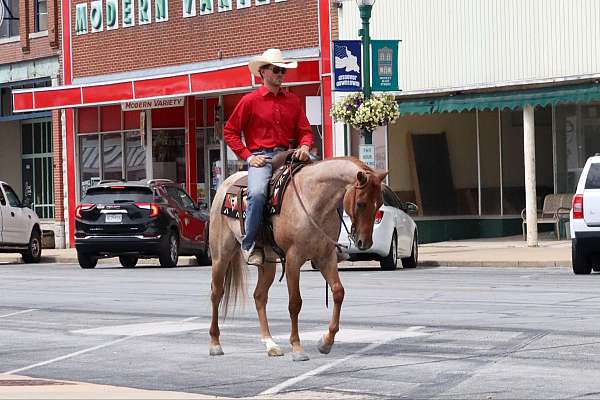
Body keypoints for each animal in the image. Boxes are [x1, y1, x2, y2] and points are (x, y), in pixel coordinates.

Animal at [209, 155, 390, 360]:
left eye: (380, 204)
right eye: (361, 203)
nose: (364, 243)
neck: (313, 201)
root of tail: (225, 184)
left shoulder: (325, 257)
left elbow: (338, 292)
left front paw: (326, 342)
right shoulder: (293, 260)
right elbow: (295, 303)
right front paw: (297, 348)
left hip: (268, 264)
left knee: (259, 296)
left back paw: (270, 344)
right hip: (221, 255)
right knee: (216, 293)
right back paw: (215, 343)